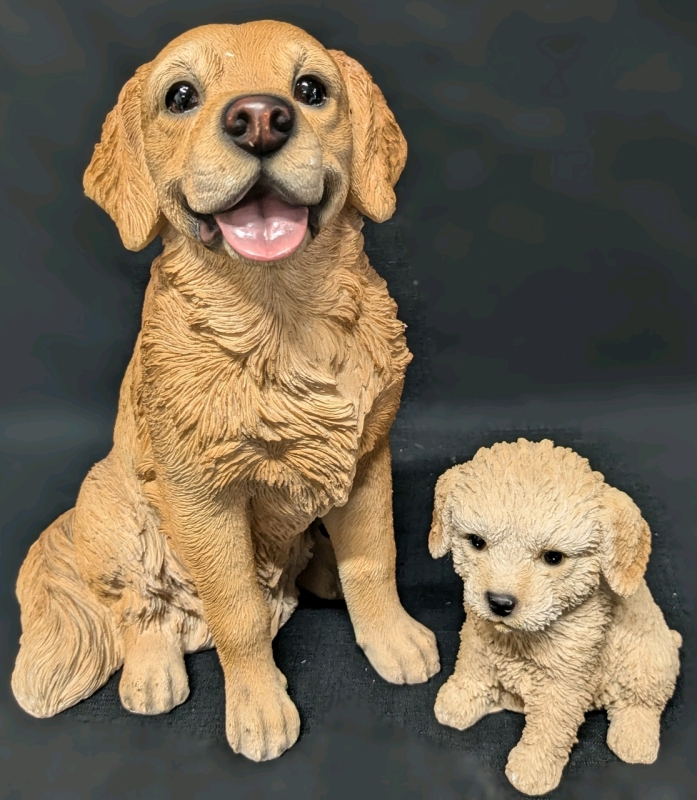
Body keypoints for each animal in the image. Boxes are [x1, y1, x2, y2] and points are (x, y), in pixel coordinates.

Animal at [10, 20, 438, 764]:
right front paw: (260, 707)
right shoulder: (202, 497)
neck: (282, 320)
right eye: (181, 95)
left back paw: (318, 572)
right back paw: (152, 675)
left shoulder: (366, 460)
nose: (260, 118)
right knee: (141, 611)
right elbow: (238, 610)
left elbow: (374, 561)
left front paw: (391, 639)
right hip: (112, 510)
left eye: (310, 89)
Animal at [430, 440, 680, 796]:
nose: (499, 603)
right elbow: (471, 667)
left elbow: (550, 726)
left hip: (648, 662)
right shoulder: (477, 635)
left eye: (553, 558)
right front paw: (459, 699)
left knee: (642, 703)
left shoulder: (565, 680)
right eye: (477, 542)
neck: (522, 637)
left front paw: (532, 769)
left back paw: (634, 738)